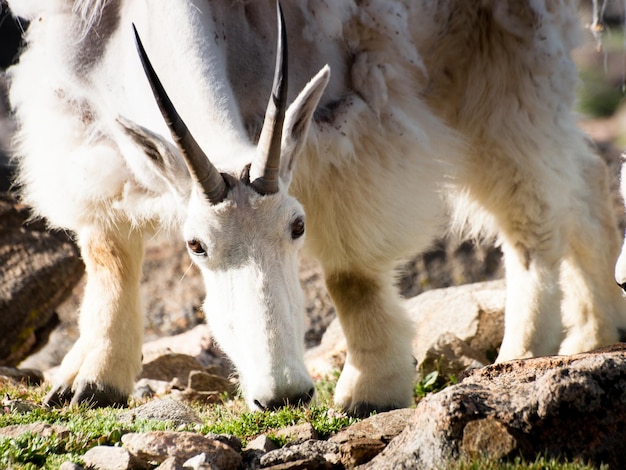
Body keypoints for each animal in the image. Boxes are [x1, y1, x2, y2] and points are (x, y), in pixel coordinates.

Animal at [6, 0, 624, 414]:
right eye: (196, 245)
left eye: (298, 226)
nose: (281, 395)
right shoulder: (81, 123)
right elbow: (108, 252)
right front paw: (95, 382)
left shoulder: (350, 110)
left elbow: (351, 272)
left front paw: (371, 391)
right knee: (586, 177)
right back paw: (596, 332)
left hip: (504, 55)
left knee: (533, 208)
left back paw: (521, 355)